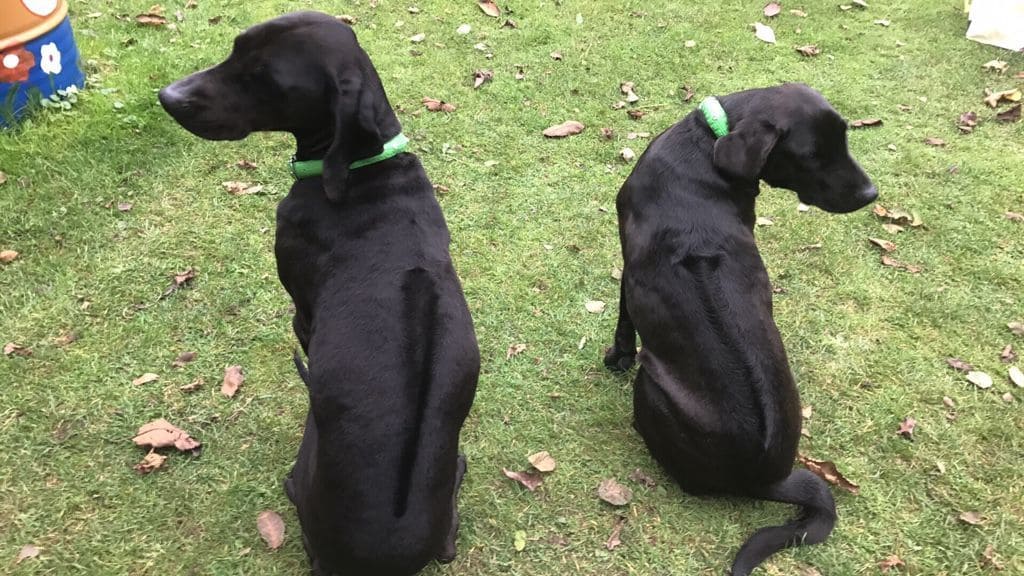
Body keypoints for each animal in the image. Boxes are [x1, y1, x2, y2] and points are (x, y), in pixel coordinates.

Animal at [602, 83, 876, 569]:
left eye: (842, 141)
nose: (871, 193)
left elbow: (623, 323)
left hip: (651, 387)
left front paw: (615, 357)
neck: (706, 144)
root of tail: (767, 478)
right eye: (812, 154)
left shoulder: (627, 270)